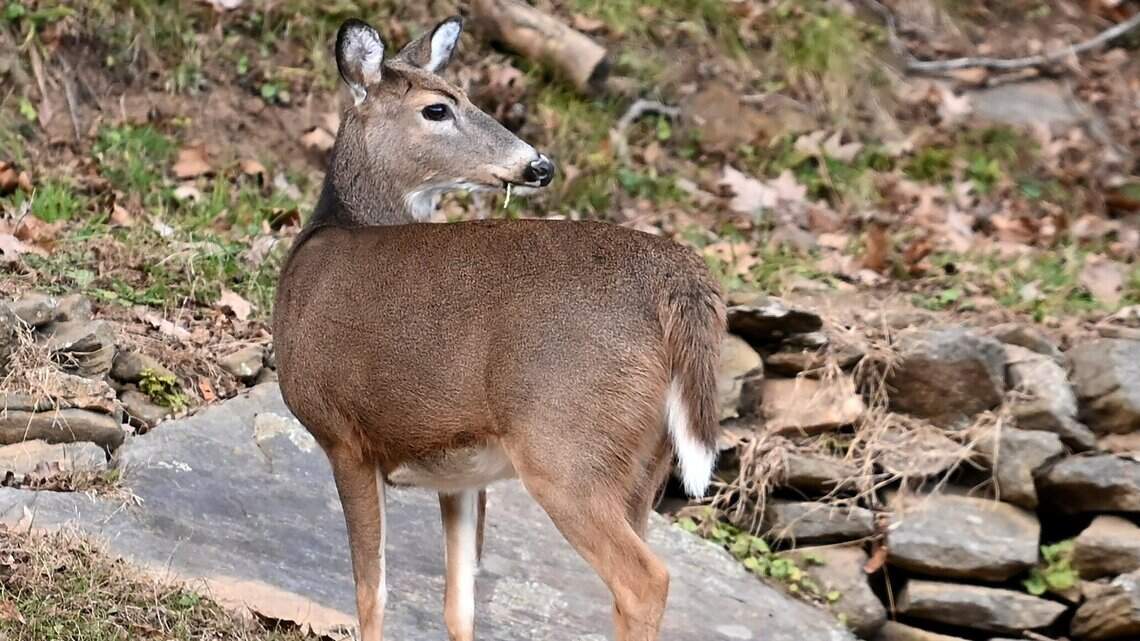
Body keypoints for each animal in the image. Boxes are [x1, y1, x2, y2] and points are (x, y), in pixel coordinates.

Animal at [272, 15, 725, 641]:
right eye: (438, 108)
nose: (539, 165)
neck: (332, 233)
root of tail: (680, 276)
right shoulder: (459, 475)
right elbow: (458, 602)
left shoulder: (342, 433)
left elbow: (371, 592)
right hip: (643, 466)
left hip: (566, 447)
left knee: (644, 581)